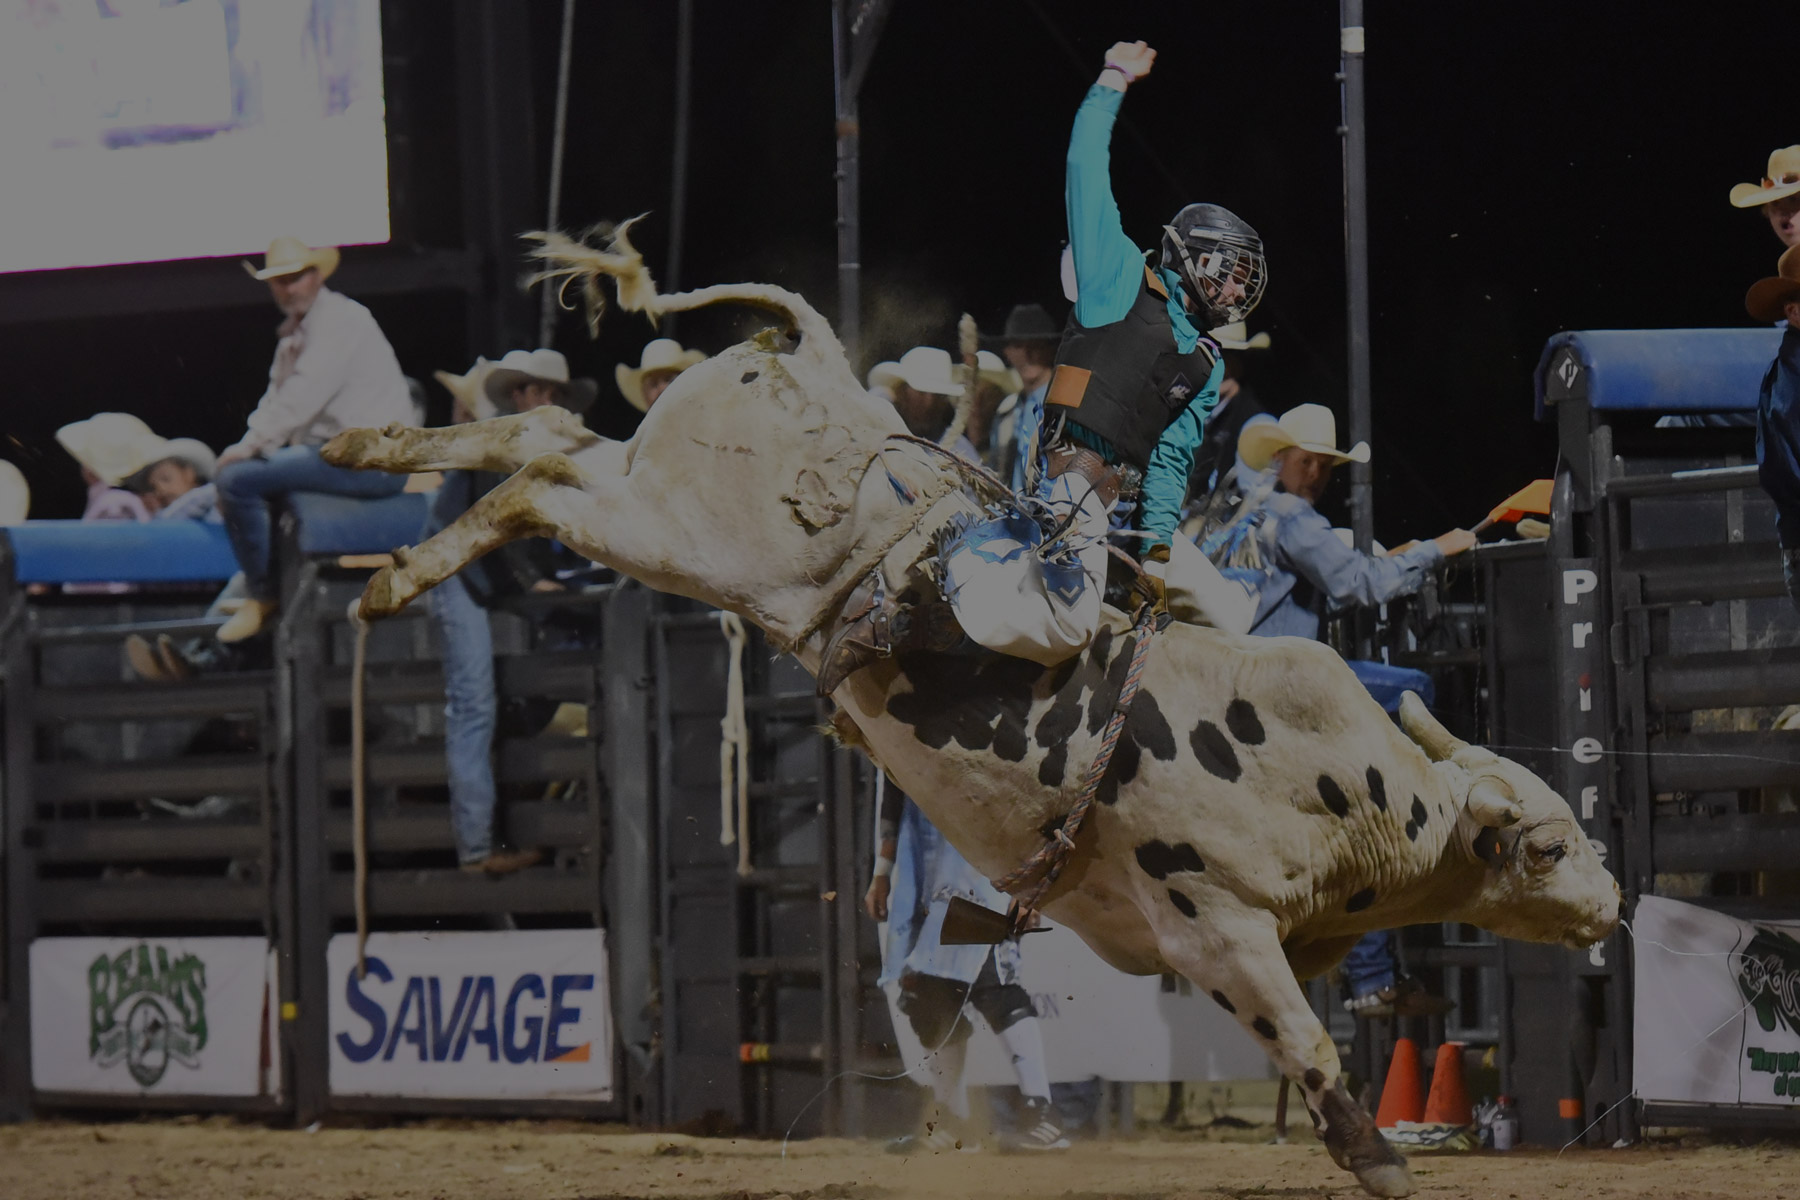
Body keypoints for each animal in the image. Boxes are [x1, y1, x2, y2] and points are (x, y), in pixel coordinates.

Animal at [320, 223, 1620, 1194]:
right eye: (1548, 845)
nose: (1612, 905)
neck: (1357, 798)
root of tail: (816, 360)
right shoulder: (1215, 928)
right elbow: (1304, 1039)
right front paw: (1379, 1162)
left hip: (648, 492)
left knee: (544, 433)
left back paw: (369, 467)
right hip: (673, 533)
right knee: (543, 475)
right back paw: (391, 559)